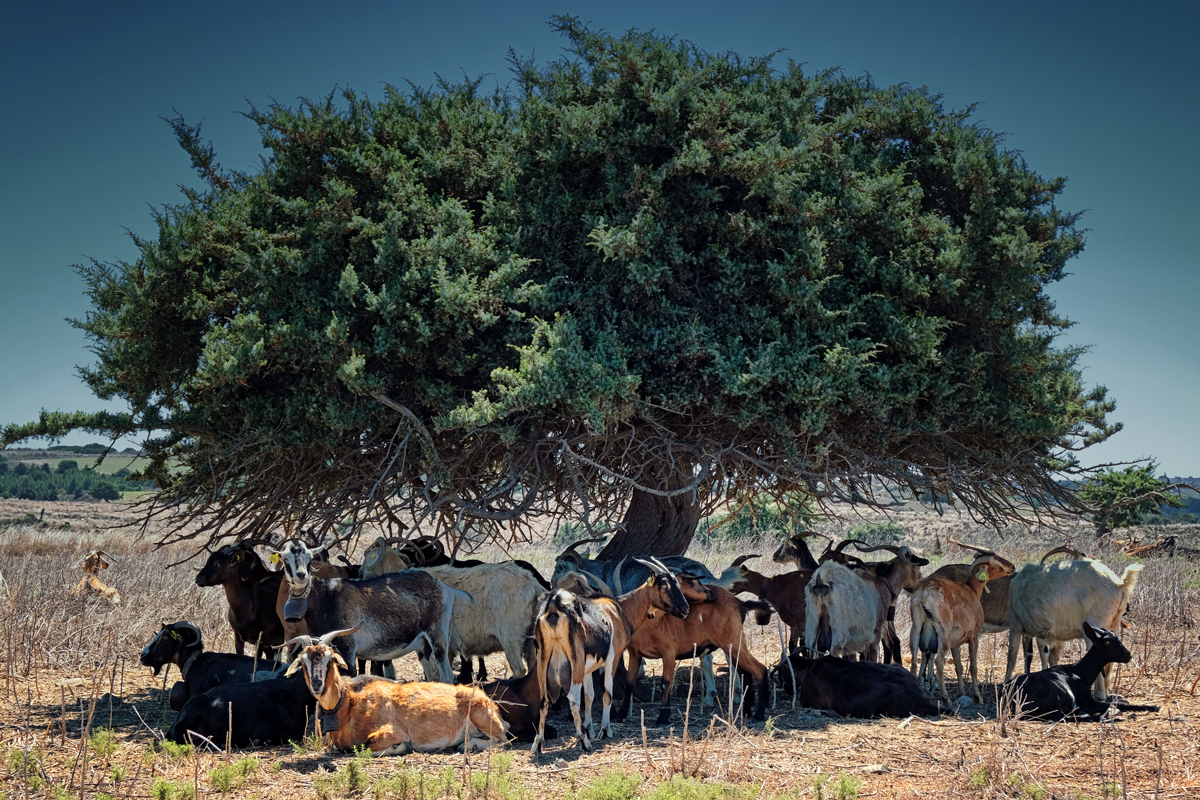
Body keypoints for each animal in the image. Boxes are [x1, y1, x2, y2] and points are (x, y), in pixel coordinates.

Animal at [285, 628, 506, 753]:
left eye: (330, 658)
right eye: (303, 662)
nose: (317, 684)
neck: (349, 702)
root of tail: (491, 704)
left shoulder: (391, 732)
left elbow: (365, 748)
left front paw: (401, 747)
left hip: (483, 718)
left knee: (503, 740)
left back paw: (466, 746)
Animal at [1008, 556, 1137, 700]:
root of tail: (1120, 584)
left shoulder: (1016, 624)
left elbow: (1012, 657)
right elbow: (1049, 657)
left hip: (1095, 625)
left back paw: (1099, 695)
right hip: (1113, 625)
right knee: (1109, 665)